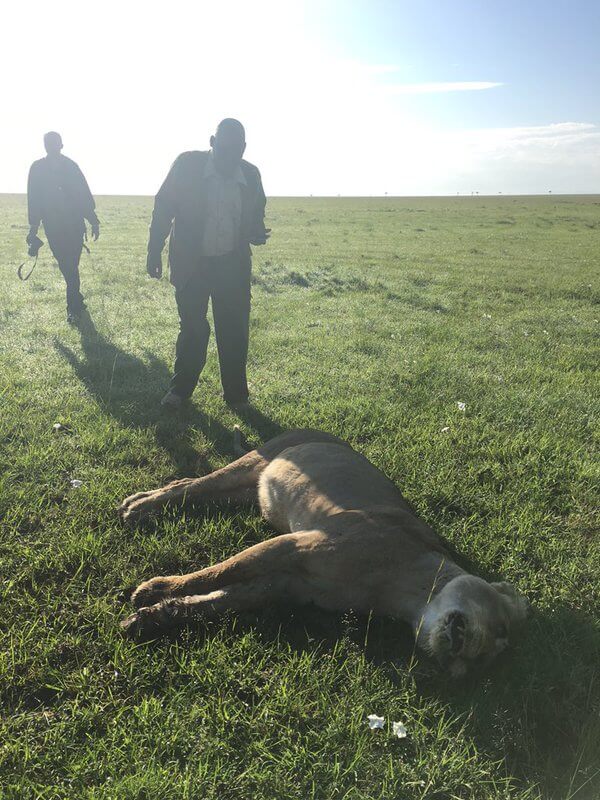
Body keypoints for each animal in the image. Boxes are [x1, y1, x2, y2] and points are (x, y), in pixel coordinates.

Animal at [119, 428, 528, 680]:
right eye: (501, 628)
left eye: (478, 666)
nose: (463, 656)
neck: (401, 592)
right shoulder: (295, 544)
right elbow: (222, 570)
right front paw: (154, 589)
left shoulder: (287, 584)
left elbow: (217, 600)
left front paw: (152, 617)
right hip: (256, 461)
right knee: (193, 485)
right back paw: (138, 506)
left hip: (247, 491)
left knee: (190, 486)